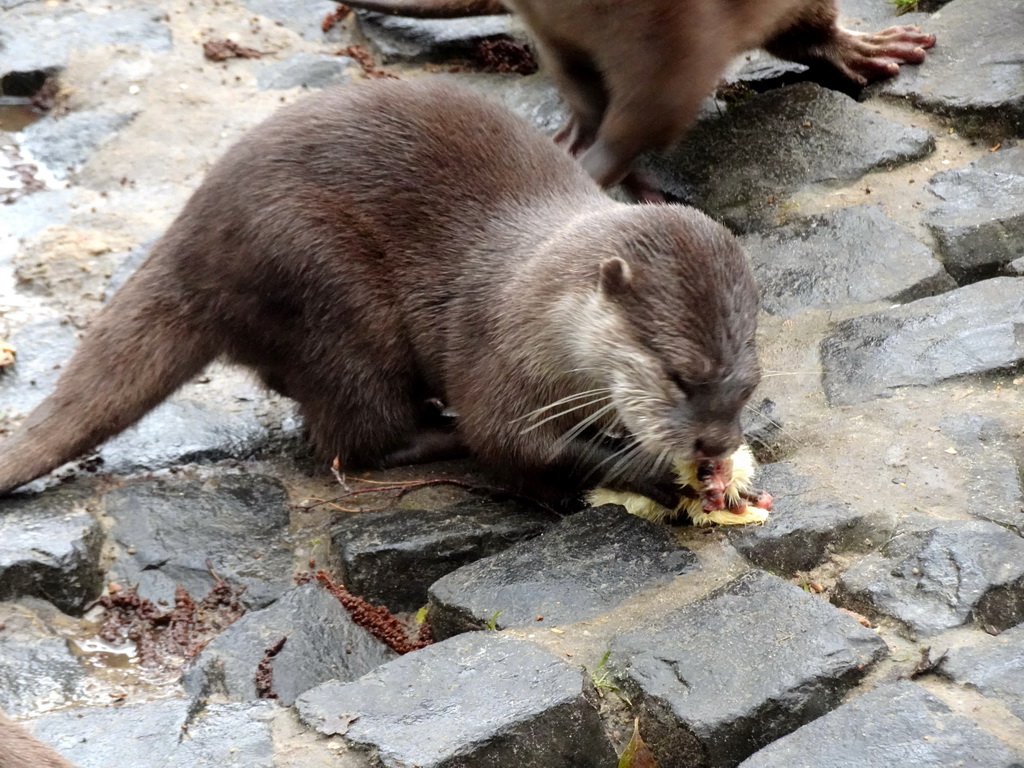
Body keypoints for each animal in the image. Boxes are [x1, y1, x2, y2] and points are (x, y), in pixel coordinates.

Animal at [0, 79, 761, 512]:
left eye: (748, 385)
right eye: (680, 376)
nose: (717, 444)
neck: (539, 305)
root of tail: (189, 241)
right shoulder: (494, 353)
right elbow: (512, 441)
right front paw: (651, 472)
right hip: (319, 278)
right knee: (352, 438)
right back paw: (436, 432)